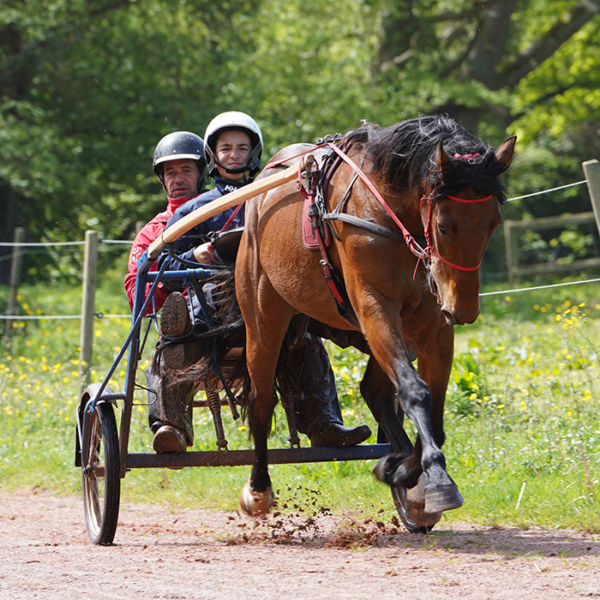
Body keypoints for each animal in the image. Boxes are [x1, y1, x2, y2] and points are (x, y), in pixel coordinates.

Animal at [236, 115, 516, 524]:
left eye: (493, 222)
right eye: (445, 225)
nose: (463, 310)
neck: (388, 215)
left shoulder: (432, 326)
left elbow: (432, 413)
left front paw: (405, 472)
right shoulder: (375, 308)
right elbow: (415, 392)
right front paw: (431, 479)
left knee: (375, 391)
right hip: (263, 318)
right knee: (261, 401)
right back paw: (258, 488)